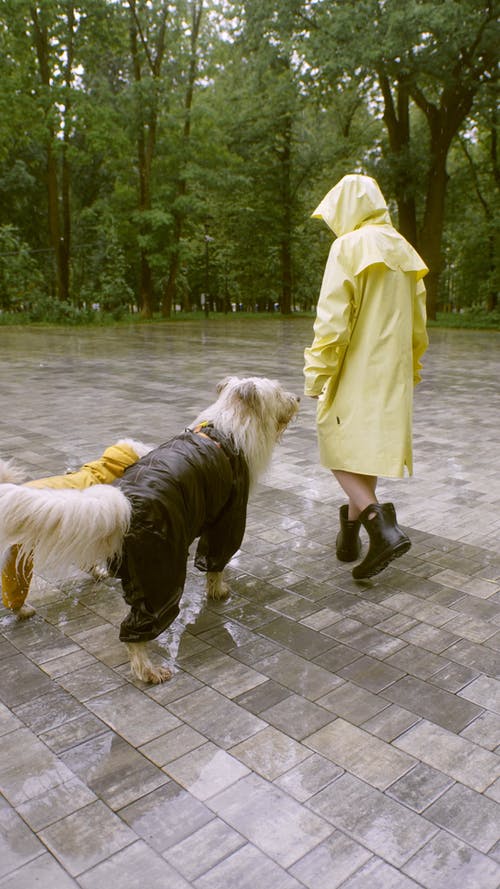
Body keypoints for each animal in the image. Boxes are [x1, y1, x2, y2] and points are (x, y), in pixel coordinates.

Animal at [0, 374, 298, 680]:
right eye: (278, 392)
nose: (298, 399)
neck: (228, 428)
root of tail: (123, 502)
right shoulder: (228, 516)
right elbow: (216, 563)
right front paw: (219, 591)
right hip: (161, 572)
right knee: (137, 631)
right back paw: (149, 671)